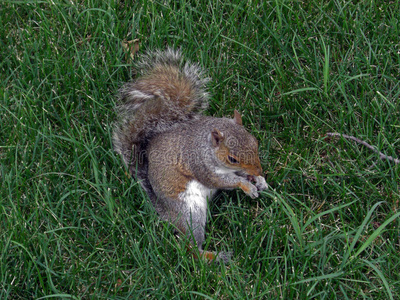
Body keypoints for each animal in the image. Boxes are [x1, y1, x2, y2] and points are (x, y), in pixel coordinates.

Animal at [113, 48, 268, 262]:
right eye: (232, 158)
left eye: (255, 142)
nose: (260, 170)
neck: (206, 146)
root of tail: (164, 212)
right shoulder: (200, 165)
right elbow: (222, 181)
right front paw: (246, 186)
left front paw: (259, 180)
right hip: (190, 212)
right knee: (190, 247)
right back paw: (215, 257)